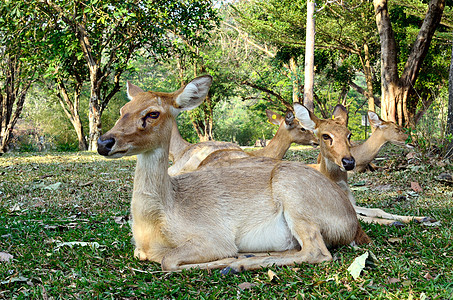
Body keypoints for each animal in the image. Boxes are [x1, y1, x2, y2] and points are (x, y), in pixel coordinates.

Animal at [97, 76, 370, 274]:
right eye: (123, 109)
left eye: (153, 113)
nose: (103, 142)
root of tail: (353, 223)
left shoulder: (212, 237)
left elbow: (168, 262)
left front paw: (226, 260)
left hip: (296, 199)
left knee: (318, 252)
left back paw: (238, 262)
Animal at [294, 104, 434, 226]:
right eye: (325, 136)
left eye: (349, 134)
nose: (349, 162)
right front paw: (395, 222)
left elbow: (376, 210)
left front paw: (420, 218)